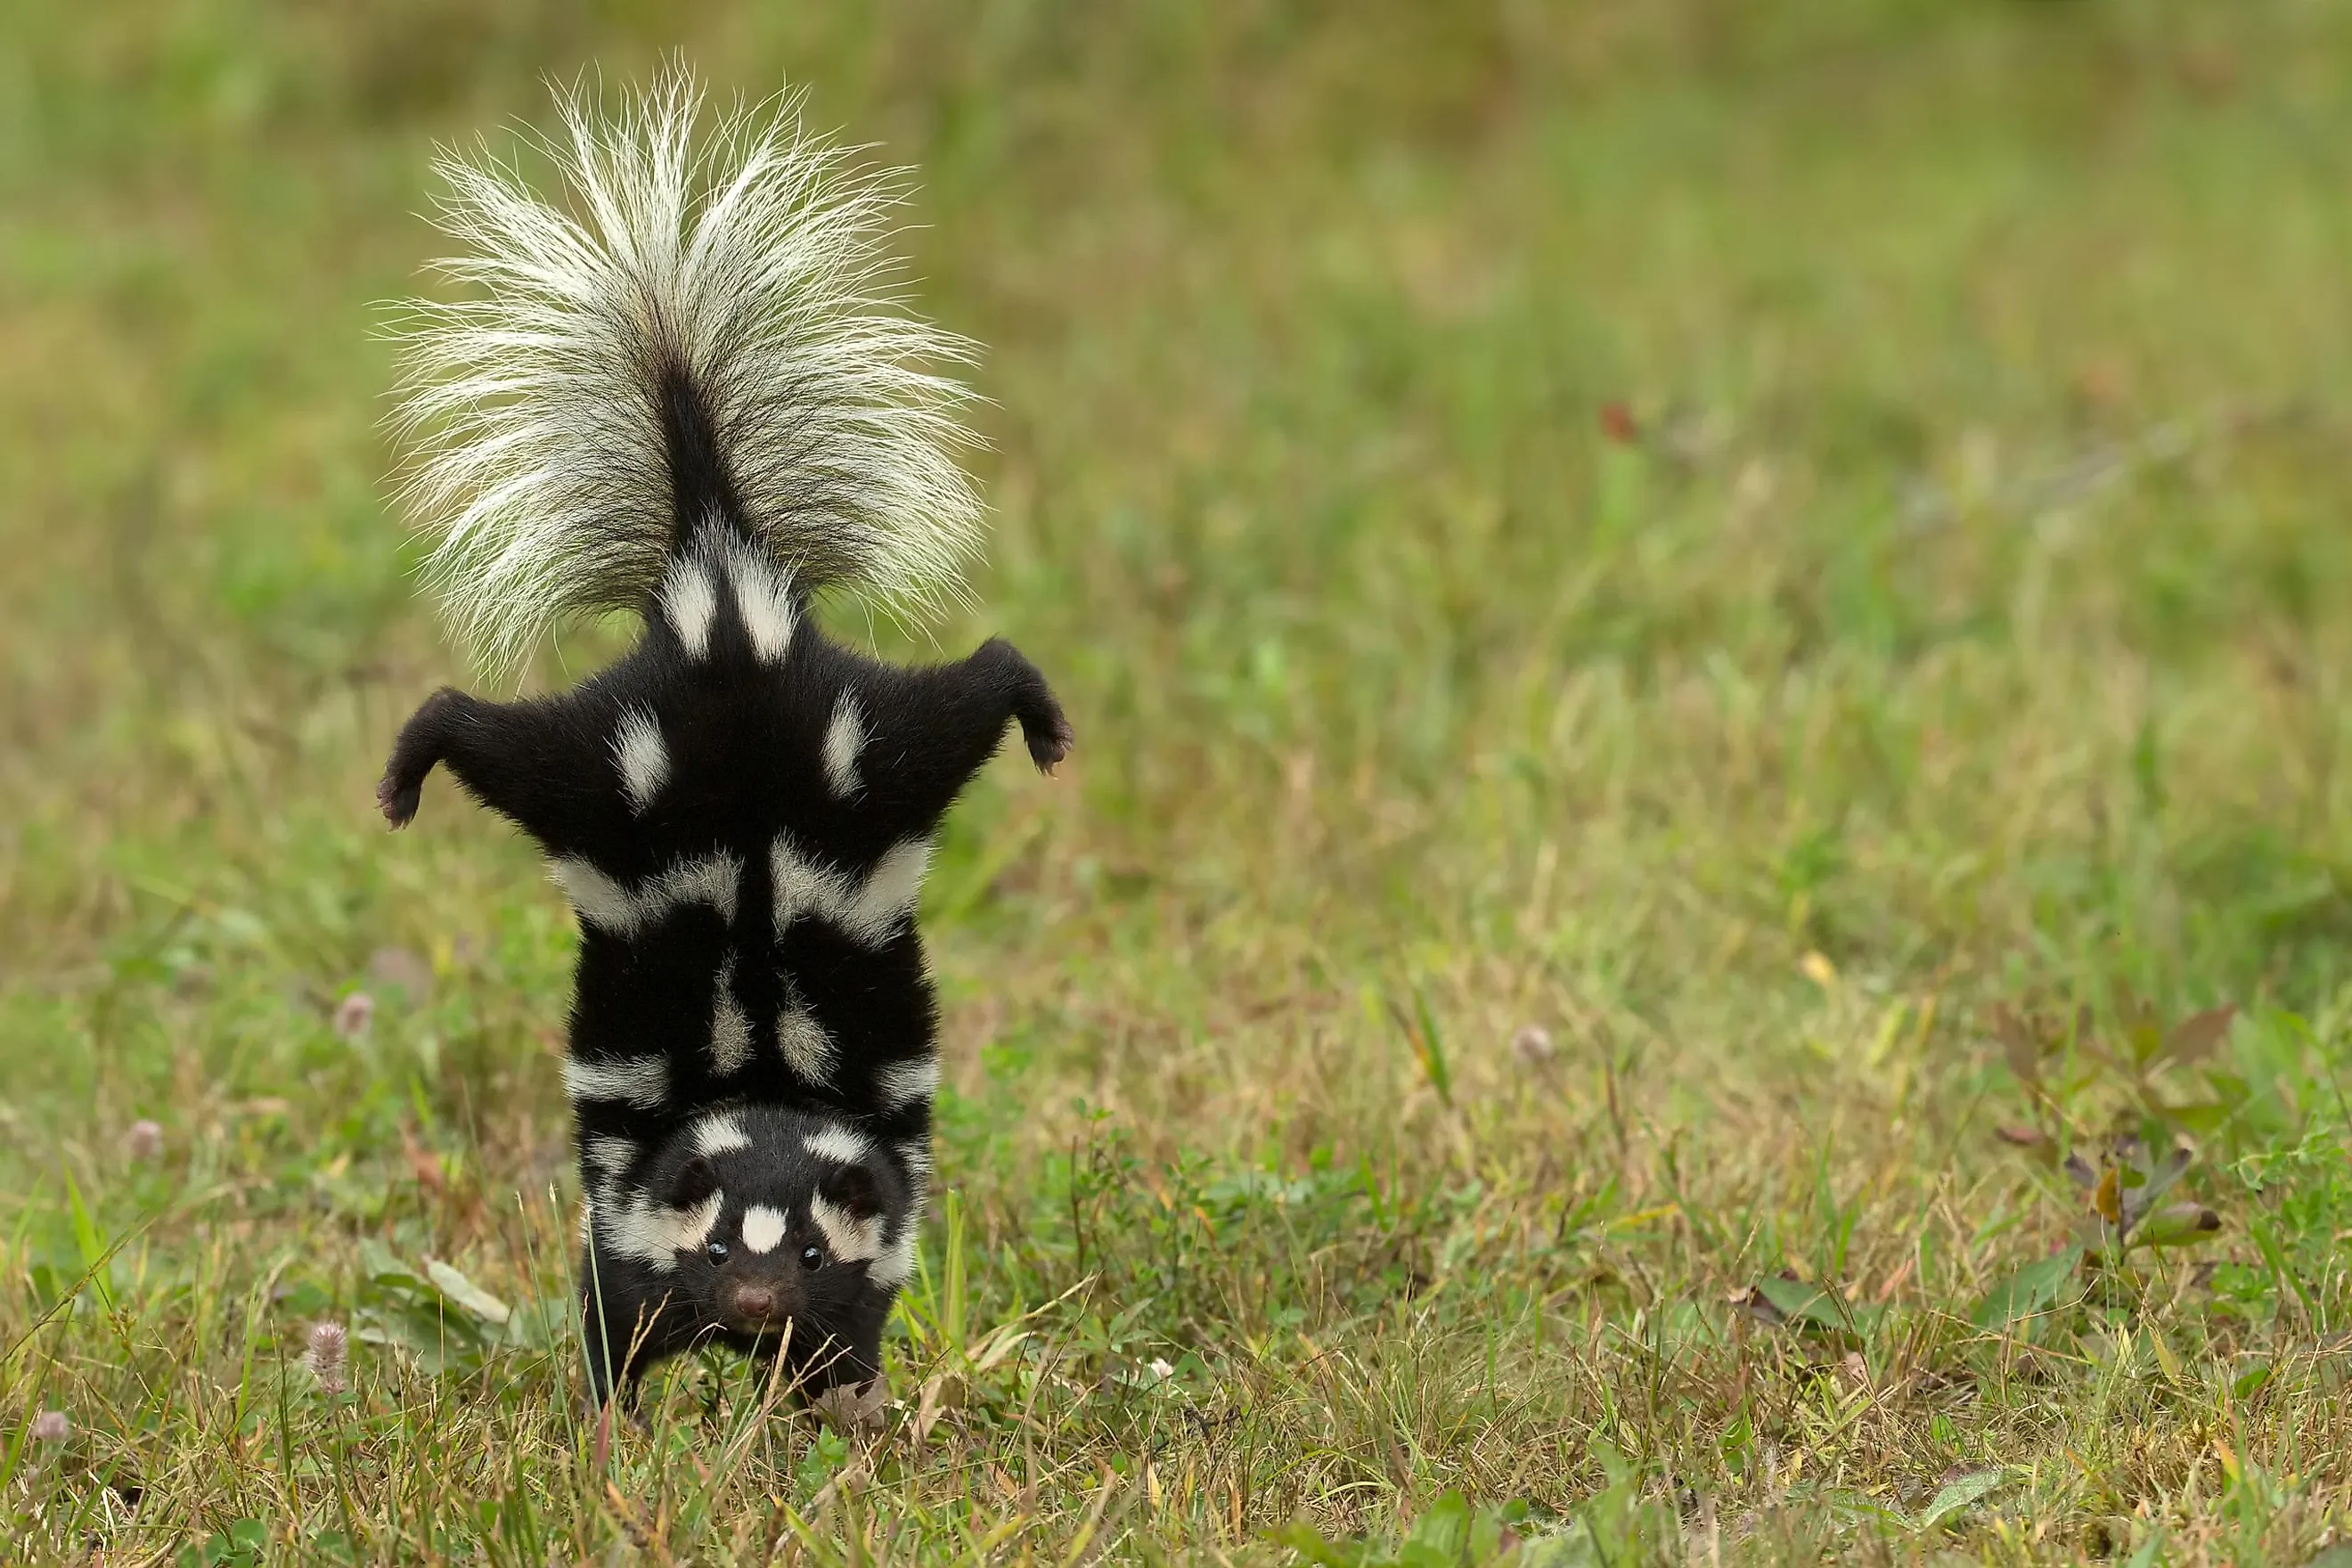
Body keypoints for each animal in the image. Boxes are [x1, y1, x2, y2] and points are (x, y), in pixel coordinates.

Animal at [372, 73, 1072, 1410]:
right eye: (713, 1248)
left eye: (807, 1251)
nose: (751, 1309)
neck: (763, 1091)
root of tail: (727, 595)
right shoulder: (624, 1201)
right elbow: (612, 1311)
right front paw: (612, 1416)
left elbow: (857, 1322)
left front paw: (839, 1400)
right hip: (622, 759)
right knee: (483, 732)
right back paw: (406, 769)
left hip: (857, 744)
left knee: (979, 683)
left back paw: (1044, 720)